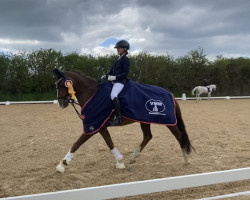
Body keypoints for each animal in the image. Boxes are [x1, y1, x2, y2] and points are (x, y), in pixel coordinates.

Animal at [53, 68, 194, 172]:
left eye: (62, 85)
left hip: (169, 122)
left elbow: (77, 143)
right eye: (56, 85)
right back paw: (133, 157)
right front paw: (120, 161)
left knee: (179, 135)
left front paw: (62, 164)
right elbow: (109, 142)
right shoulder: (101, 126)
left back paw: (186, 159)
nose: (61, 104)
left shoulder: (93, 126)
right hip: (144, 120)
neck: (92, 93)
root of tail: (170, 94)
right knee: (148, 136)